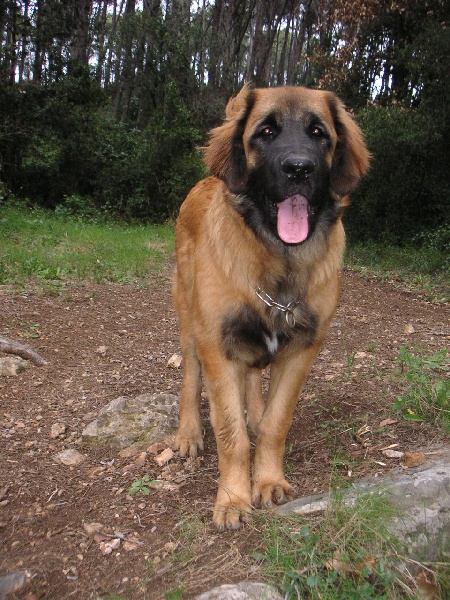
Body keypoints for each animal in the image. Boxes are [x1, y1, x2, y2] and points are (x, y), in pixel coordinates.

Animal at [172, 83, 370, 528]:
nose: (298, 169)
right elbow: (229, 434)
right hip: (190, 322)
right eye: (265, 132)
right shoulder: (218, 346)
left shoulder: (301, 350)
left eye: (318, 133)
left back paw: (254, 413)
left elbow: (276, 423)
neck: (279, 264)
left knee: (252, 384)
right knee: (191, 378)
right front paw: (232, 498)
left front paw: (266, 480)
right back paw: (188, 433)